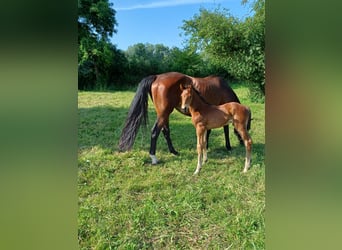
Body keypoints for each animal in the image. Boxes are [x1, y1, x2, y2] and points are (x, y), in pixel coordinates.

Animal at [117, 71, 246, 164]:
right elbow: (225, 130)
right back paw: (154, 158)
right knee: (155, 132)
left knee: (165, 131)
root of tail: (157, 77)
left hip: (164, 115)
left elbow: (208, 131)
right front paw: (228, 146)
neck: (224, 89)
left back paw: (174, 152)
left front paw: (207, 146)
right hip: (164, 114)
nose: (242, 143)